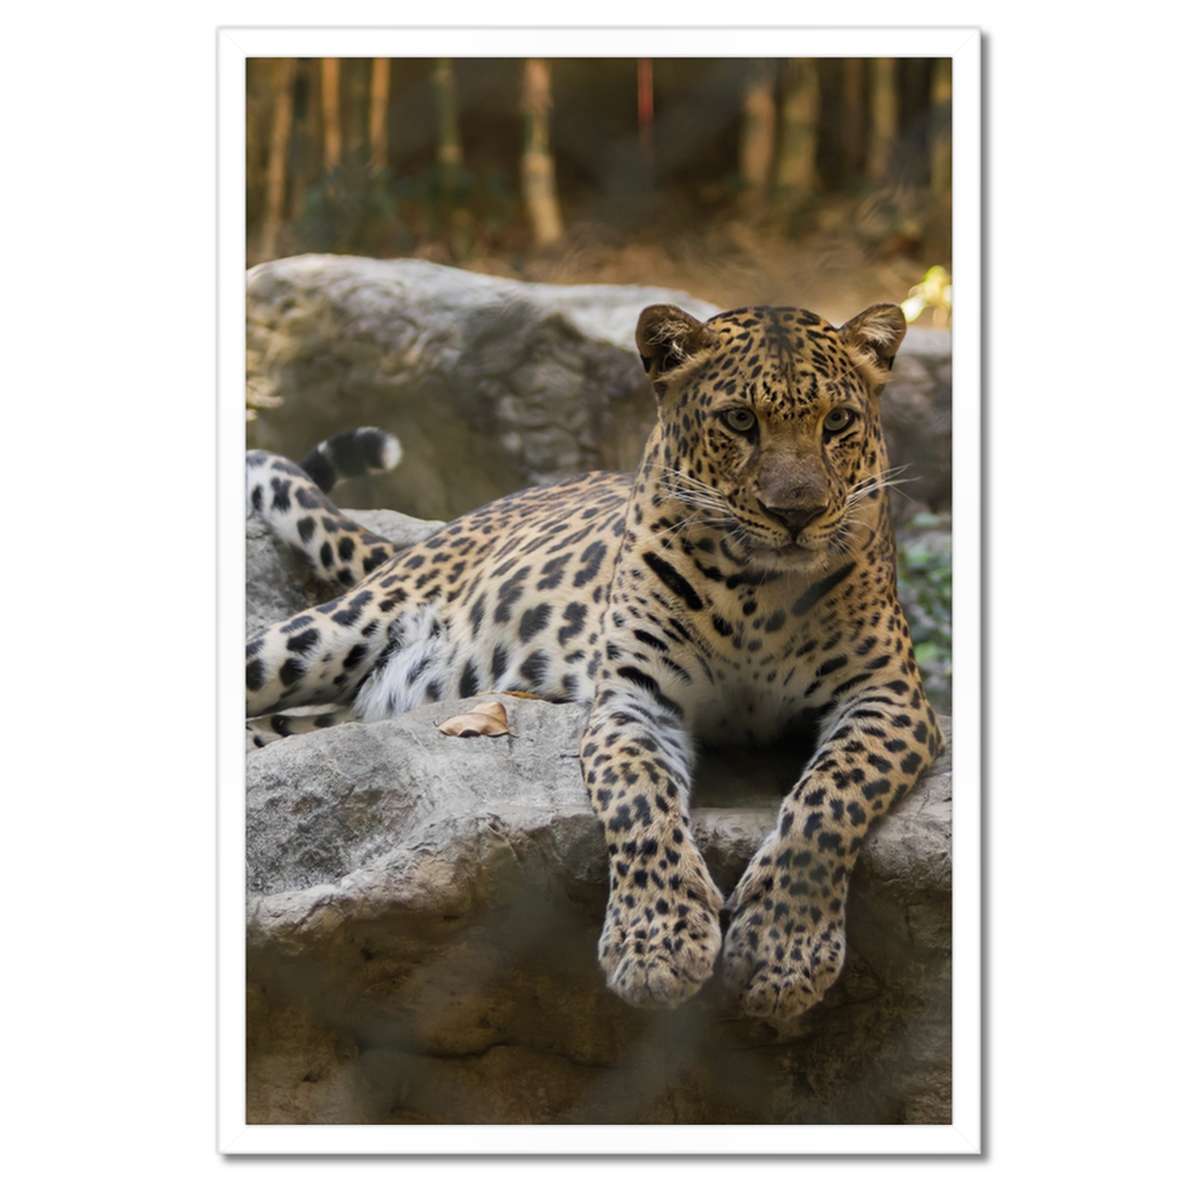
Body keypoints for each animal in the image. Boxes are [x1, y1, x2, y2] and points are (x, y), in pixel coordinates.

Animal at [244, 301, 944, 1028]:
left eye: (837, 422)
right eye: (739, 421)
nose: (797, 514)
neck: (758, 592)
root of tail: (453, 525)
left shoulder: (888, 698)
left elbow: (829, 801)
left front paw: (782, 952)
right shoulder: (635, 701)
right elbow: (639, 801)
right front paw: (658, 946)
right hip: (330, 633)